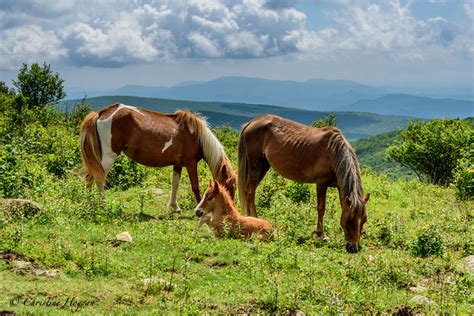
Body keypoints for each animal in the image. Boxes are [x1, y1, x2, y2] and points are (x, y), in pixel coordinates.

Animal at [82, 102, 239, 210]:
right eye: (231, 187)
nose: (230, 208)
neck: (196, 136)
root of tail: (102, 113)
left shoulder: (178, 164)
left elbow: (175, 184)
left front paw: (174, 207)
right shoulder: (191, 163)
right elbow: (195, 186)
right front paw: (198, 208)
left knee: (90, 176)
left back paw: (89, 203)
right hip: (109, 155)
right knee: (99, 177)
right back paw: (102, 205)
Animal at [239, 115, 368, 253]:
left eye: (364, 220)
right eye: (349, 220)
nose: (353, 248)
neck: (334, 153)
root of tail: (252, 122)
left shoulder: (339, 187)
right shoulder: (321, 184)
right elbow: (321, 208)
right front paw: (321, 235)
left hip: (264, 166)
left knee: (249, 191)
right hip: (256, 165)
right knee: (250, 192)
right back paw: (255, 218)